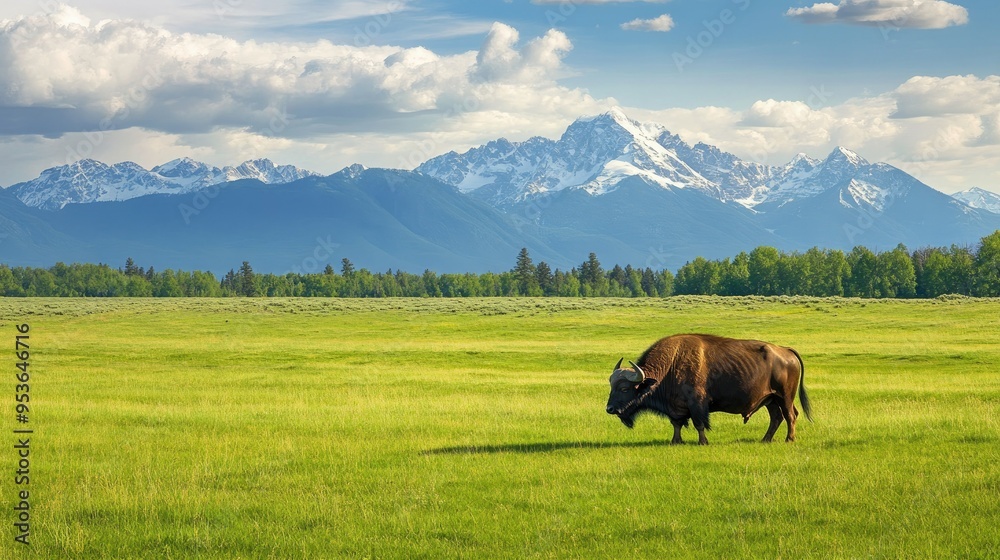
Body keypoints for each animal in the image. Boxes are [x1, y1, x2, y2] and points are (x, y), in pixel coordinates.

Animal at [605, 334, 813, 444]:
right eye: (611, 386)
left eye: (624, 388)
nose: (609, 409)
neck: (671, 364)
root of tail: (785, 351)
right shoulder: (676, 408)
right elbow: (676, 424)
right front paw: (675, 441)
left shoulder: (697, 404)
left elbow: (699, 424)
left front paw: (702, 442)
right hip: (770, 400)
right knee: (777, 417)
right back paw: (765, 439)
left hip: (785, 397)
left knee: (790, 415)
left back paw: (789, 439)